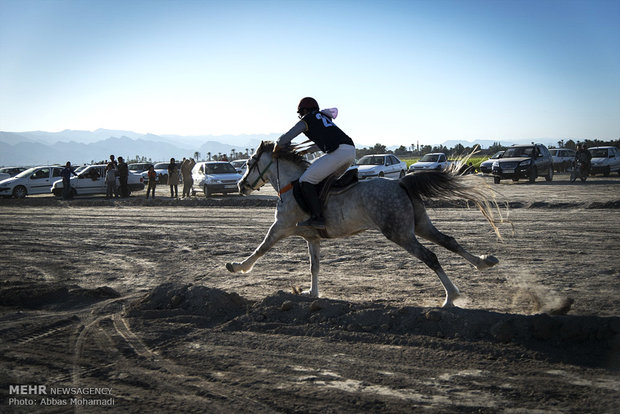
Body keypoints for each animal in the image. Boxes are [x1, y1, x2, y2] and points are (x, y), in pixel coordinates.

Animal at [225, 142, 502, 308]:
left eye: (249, 163)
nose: (240, 186)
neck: (292, 184)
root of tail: (400, 182)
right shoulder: (312, 238)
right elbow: (314, 266)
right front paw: (312, 294)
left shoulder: (280, 227)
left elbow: (260, 249)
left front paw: (238, 267)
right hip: (419, 225)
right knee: (448, 241)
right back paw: (483, 262)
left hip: (399, 233)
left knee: (430, 256)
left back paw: (451, 297)